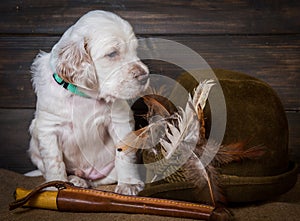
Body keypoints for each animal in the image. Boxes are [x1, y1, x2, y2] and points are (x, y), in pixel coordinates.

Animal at [28, 9, 149, 195]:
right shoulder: (48, 128)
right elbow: (54, 161)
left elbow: (124, 154)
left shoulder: (119, 120)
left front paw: (129, 184)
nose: (145, 76)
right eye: (112, 54)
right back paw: (75, 180)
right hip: (34, 144)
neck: (84, 96)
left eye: (135, 50)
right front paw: (55, 186)